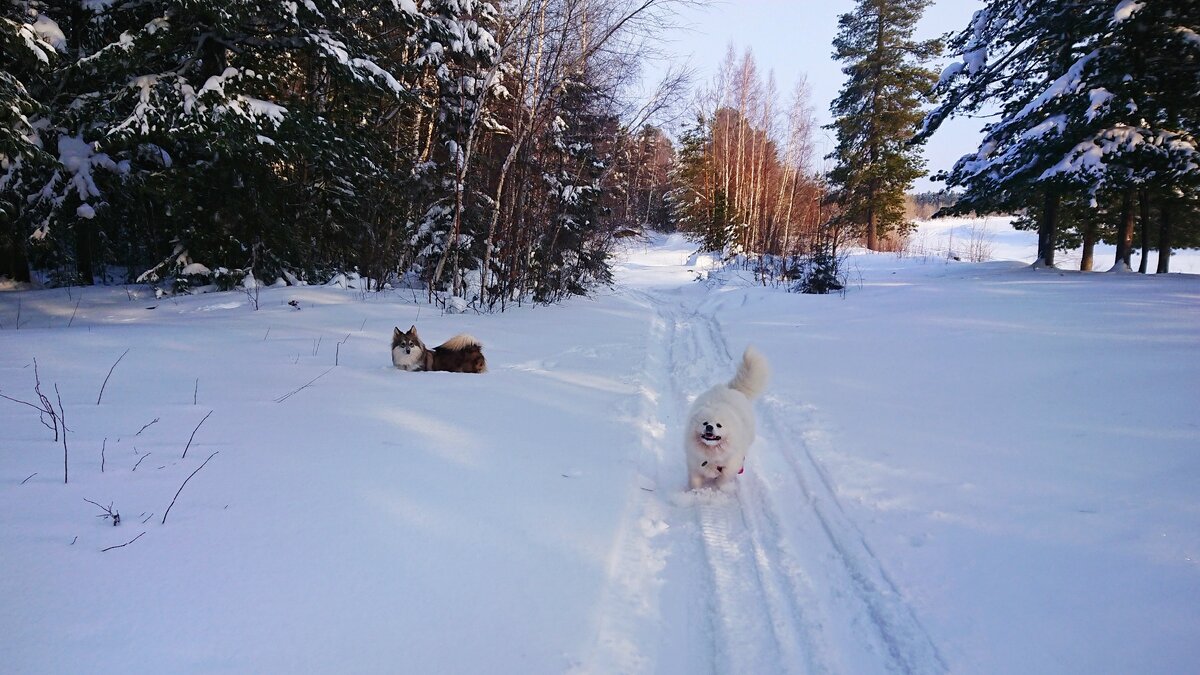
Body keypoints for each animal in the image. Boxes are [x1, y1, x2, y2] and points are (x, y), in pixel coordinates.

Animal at [686, 343, 768, 485]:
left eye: (719, 425)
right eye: (705, 423)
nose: (709, 427)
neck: (711, 454)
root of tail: (731, 389)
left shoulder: (730, 466)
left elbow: (722, 481)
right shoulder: (695, 465)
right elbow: (695, 481)